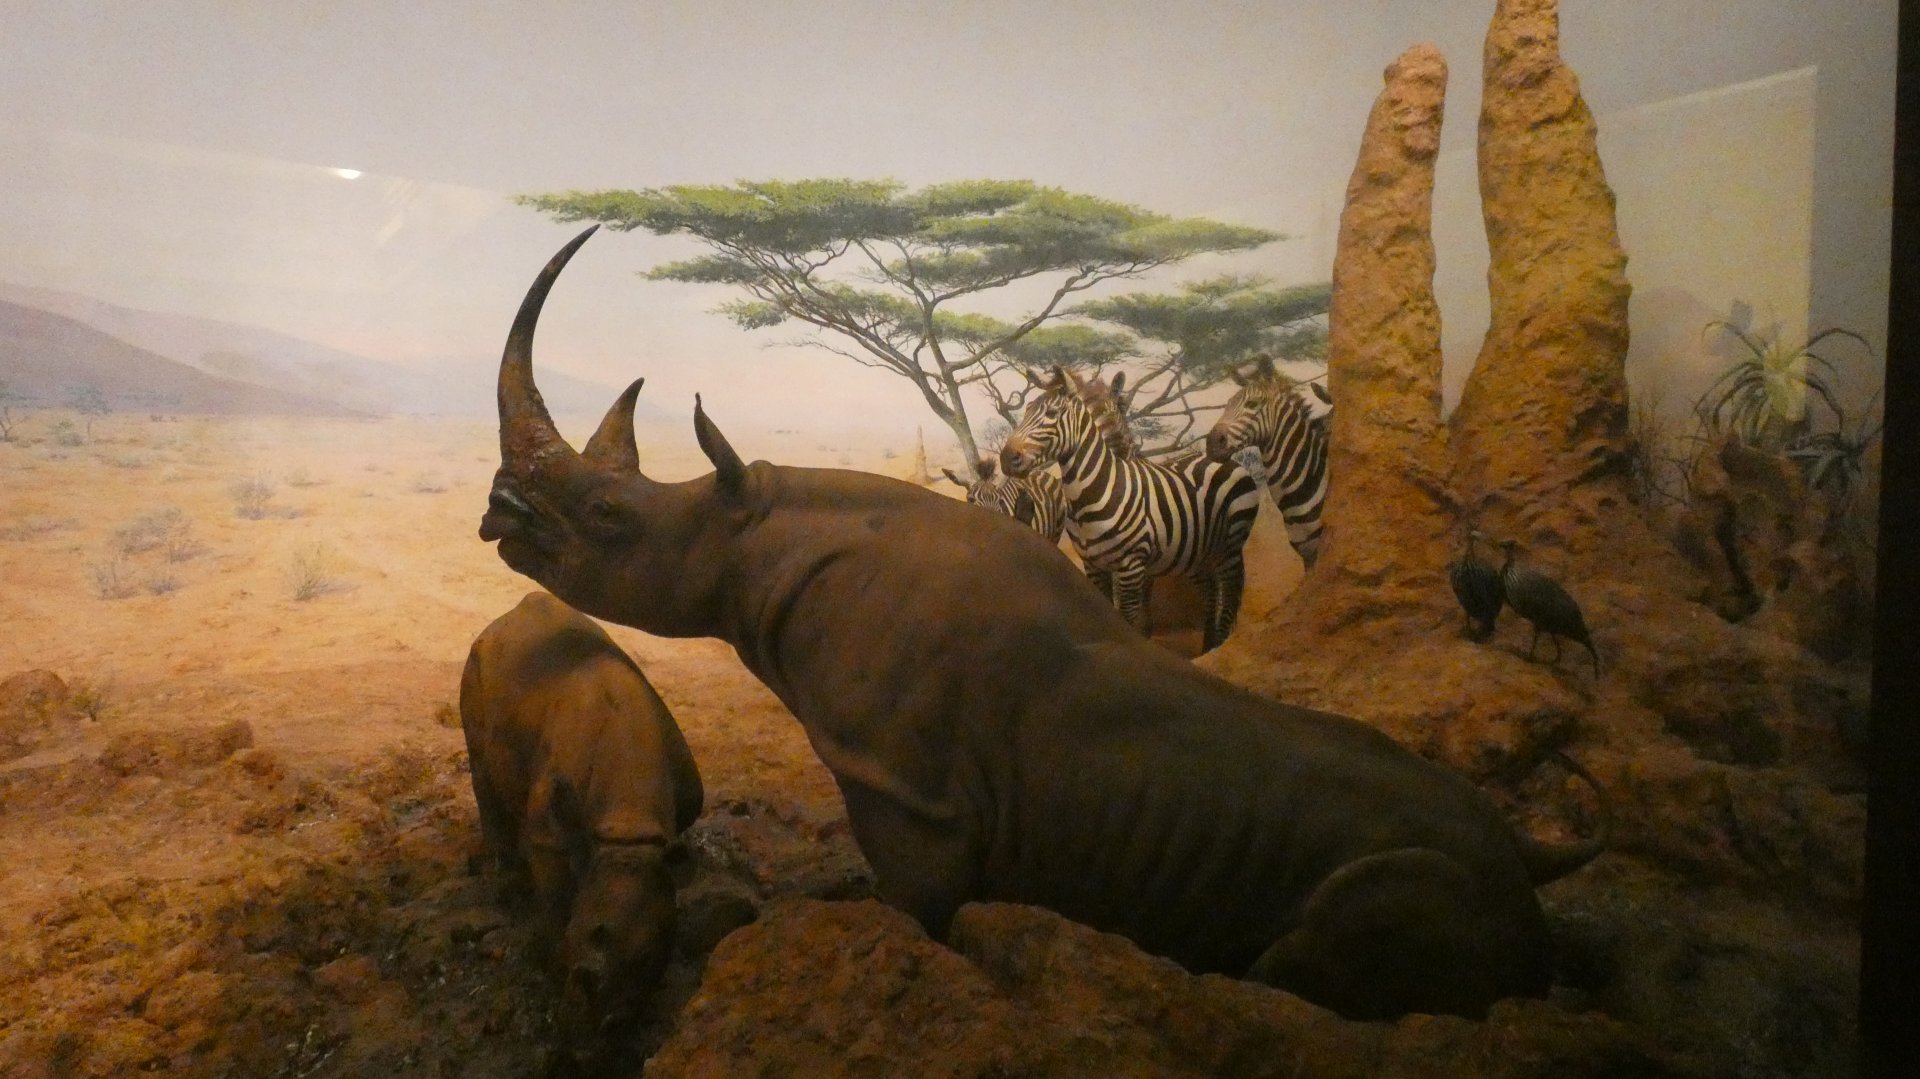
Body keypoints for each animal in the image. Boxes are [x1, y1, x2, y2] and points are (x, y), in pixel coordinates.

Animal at [459, 589, 704, 1015]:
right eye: (594, 935)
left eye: (654, 965)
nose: (607, 1023)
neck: (626, 829)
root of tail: (504, 619)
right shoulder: (551, 833)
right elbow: (558, 897)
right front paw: (553, 962)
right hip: (476, 662)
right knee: (481, 767)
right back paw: (508, 885)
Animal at [1001, 366, 1261, 653]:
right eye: (1026, 410)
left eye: (1051, 413)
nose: (1006, 458)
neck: (1093, 493)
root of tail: (1221, 460)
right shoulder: (1094, 566)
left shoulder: (1133, 565)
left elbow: (1132, 618)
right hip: (1196, 552)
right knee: (1210, 591)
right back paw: (1207, 647)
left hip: (1230, 545)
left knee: (1229, 592)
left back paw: (1218, 647)